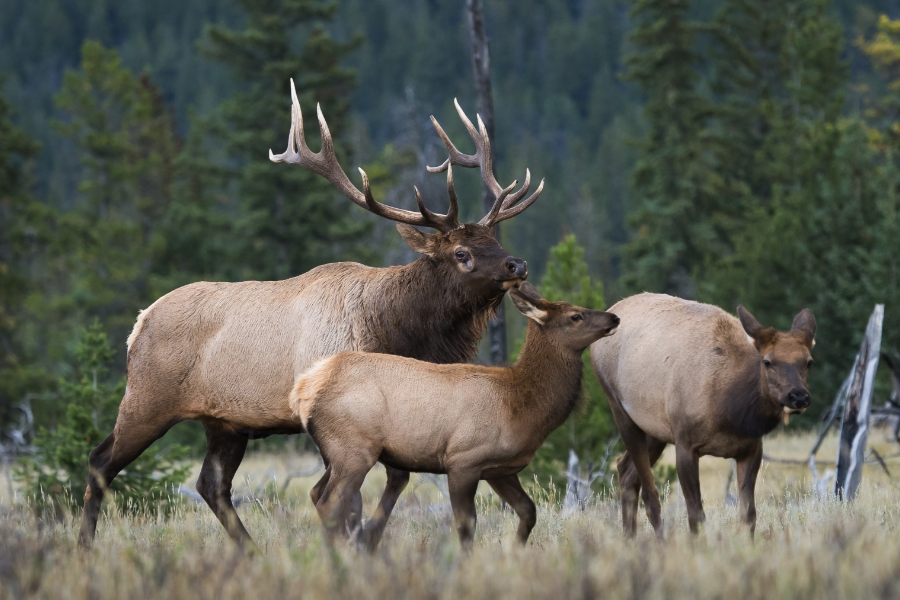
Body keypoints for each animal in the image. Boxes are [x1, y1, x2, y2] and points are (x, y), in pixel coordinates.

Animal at [77, 81, 540, 552]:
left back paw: (250, 552)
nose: (518, 264)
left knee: (211, 484)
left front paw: (365, 541)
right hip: (148, 400)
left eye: (494, 240)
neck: (399, 336)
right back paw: (84, 546)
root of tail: (138, 324)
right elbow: (345, 495)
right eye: (462, 253)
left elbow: (394, 478)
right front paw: (353, 544)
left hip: (224, 422)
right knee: (100, 461)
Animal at [292, 284, 624, 552]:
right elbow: (466, 524)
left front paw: (516, 552)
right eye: (576, 316)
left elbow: (528, 511)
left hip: (336, 453)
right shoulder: (463, 459)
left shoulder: (499, 468)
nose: (614, 318)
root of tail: (305, 388)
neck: (522, 407)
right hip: (354, 449)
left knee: (316, 492)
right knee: (330, 502)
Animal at [592, 296, 816, 540]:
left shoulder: (751, 449)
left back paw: (629, 539)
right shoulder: (685, 444)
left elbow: (749, 516)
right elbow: (696, 515)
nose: (798, 396)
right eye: (767, 361)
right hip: (620, 410)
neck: (731, 413)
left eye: (809, 361)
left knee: (625, 471)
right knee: (650, 493)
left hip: (655, 430)